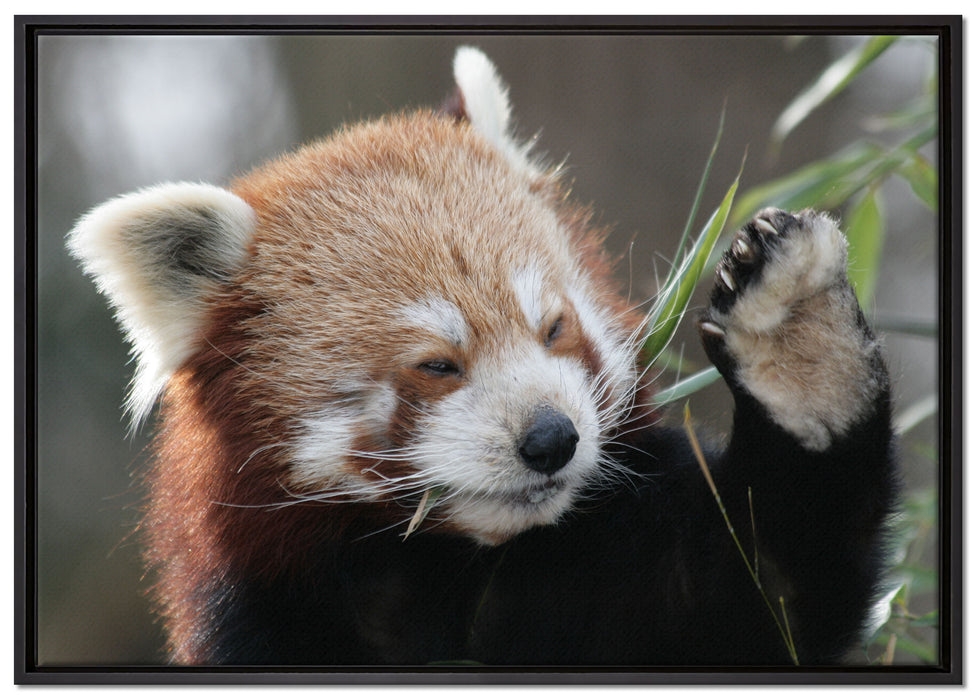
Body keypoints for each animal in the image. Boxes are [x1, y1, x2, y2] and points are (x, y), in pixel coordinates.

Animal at [67, 46, 897, 666]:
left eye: (554, 328)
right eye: (438, 364)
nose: (551, 439)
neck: (460, 566)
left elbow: (775, 590)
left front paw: (799, 339)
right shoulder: (268, 609)